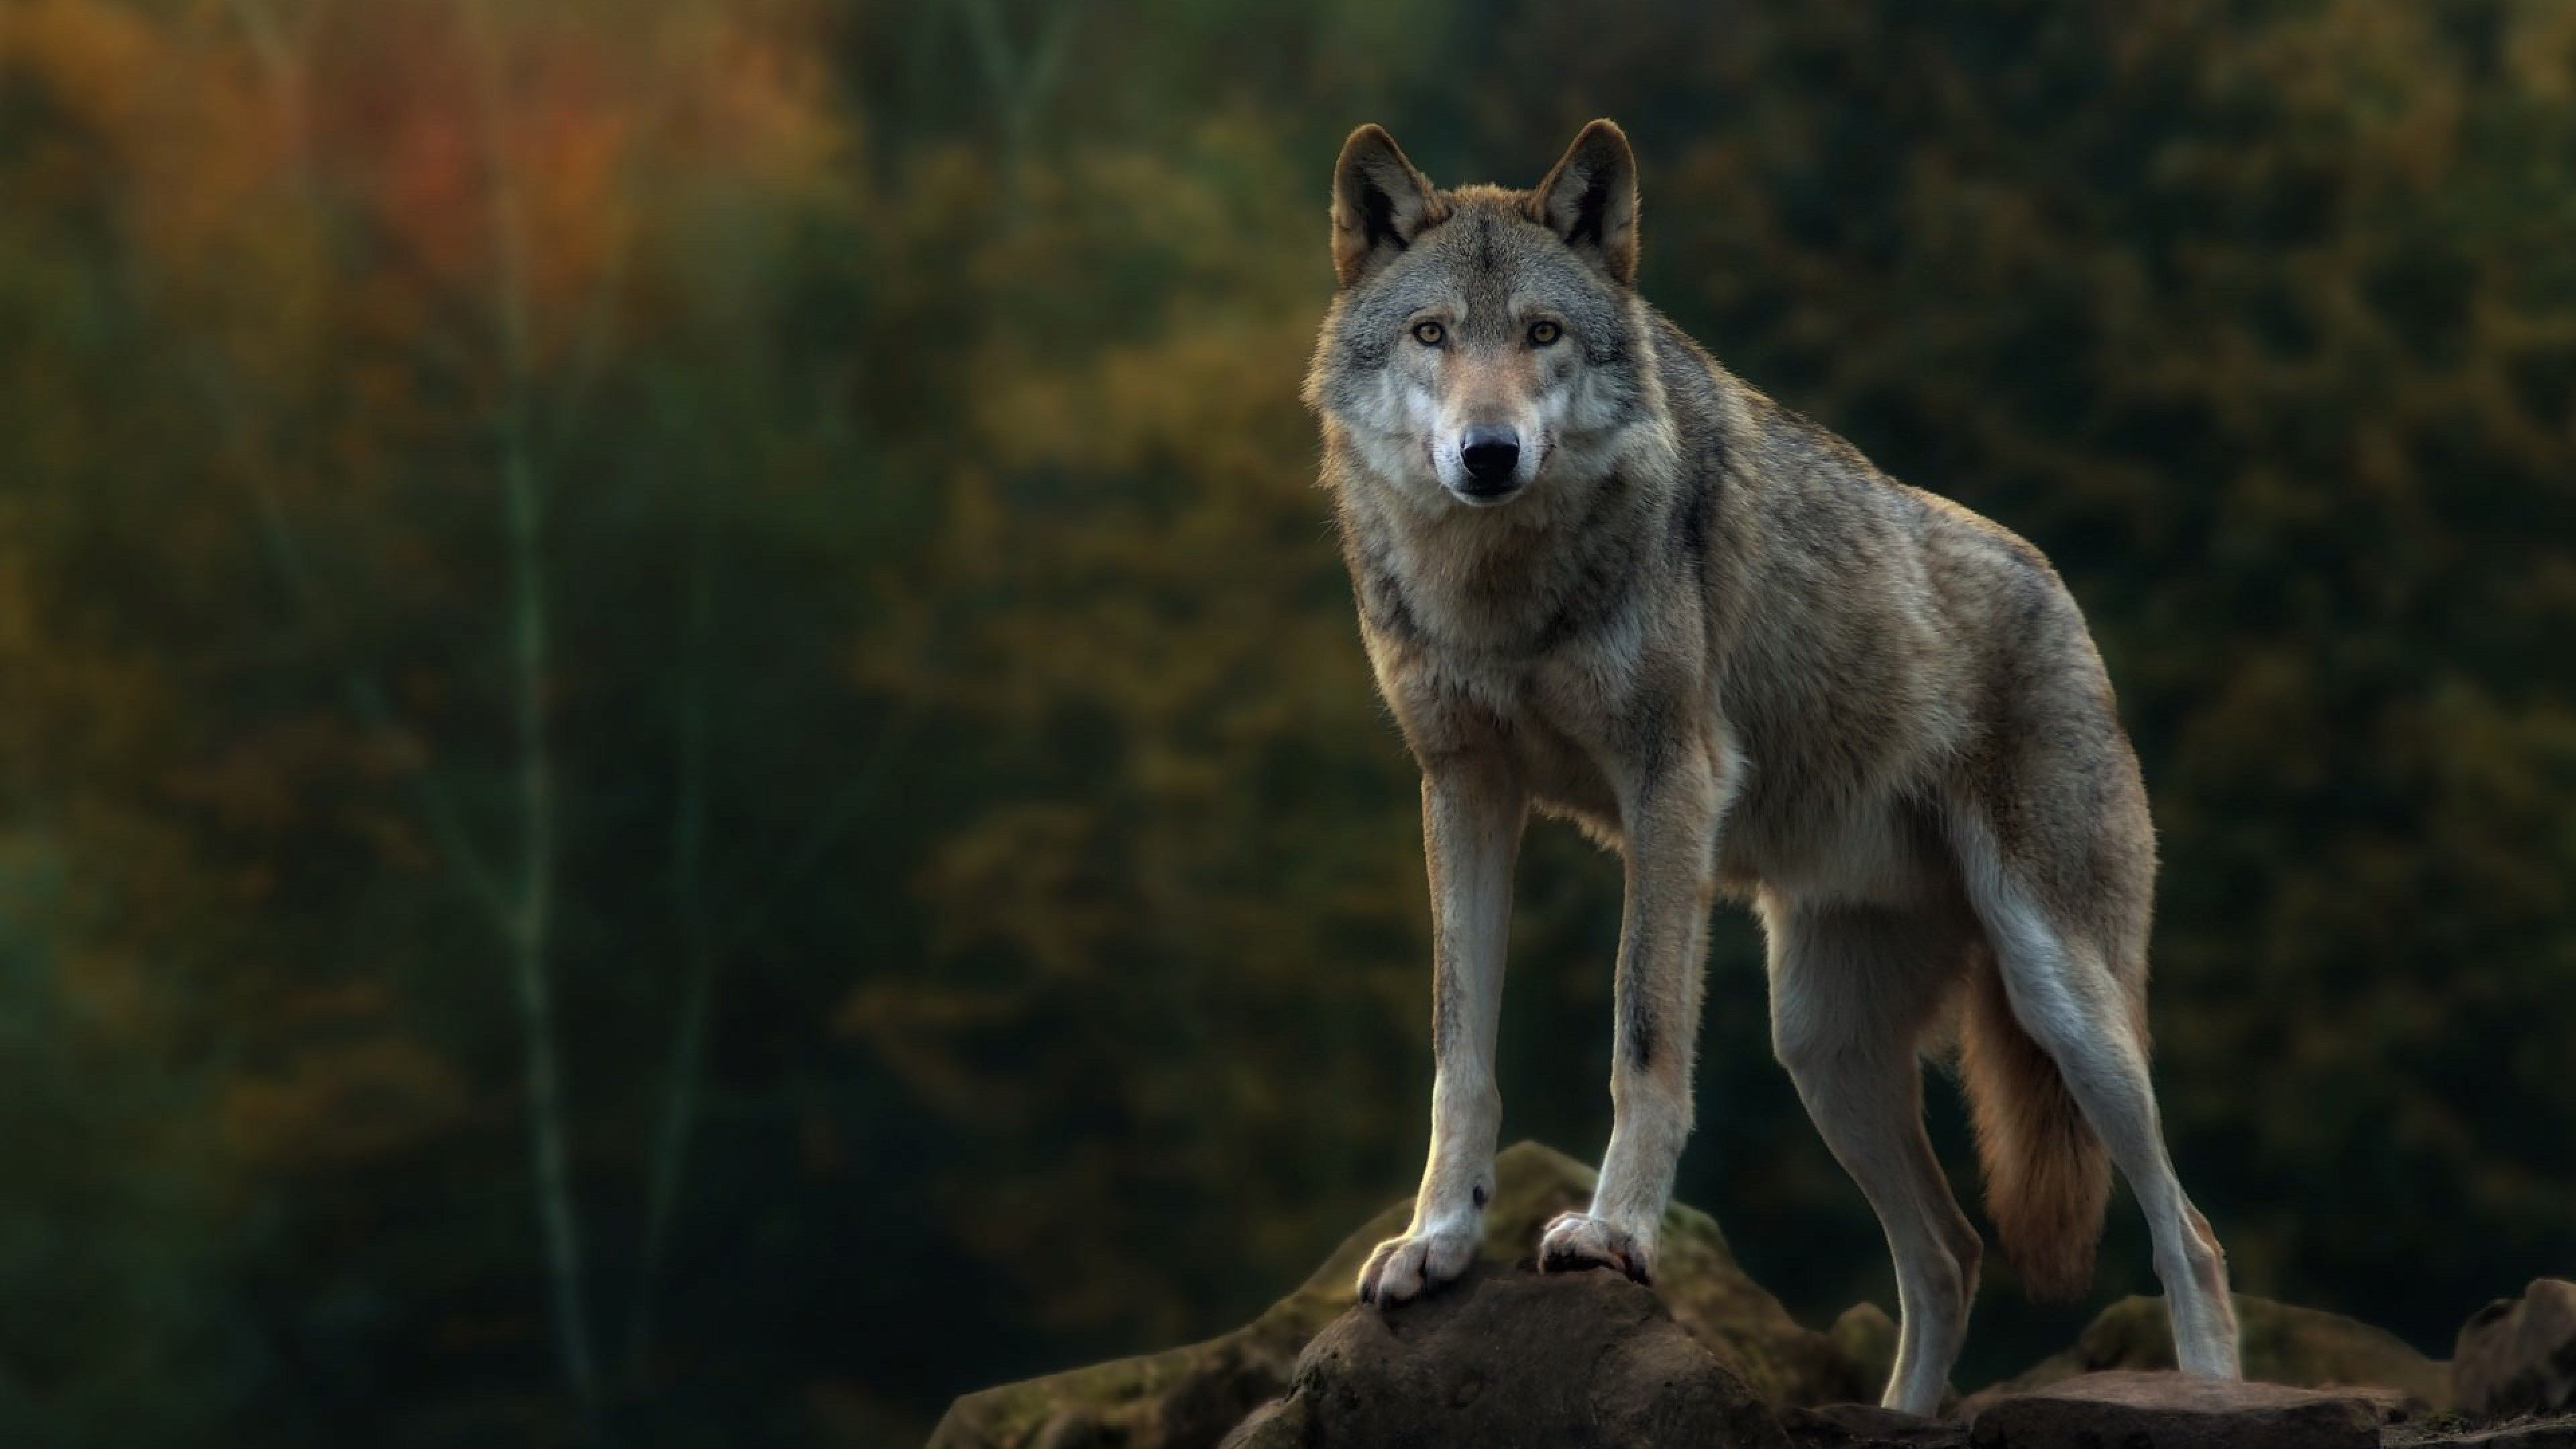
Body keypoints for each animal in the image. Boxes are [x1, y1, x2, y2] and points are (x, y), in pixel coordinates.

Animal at [1301, 119, 2242, 1415]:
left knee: (2187, 1235)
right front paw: (1439, 1241)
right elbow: (1462, 1055)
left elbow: (1642, 1035)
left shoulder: (1671, 785)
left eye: (1541, 333)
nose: (1489, 454)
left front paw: (1613, 1234)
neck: (1501, 591)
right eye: (1432, 333)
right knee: (1949, 1254)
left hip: (2063, 1001)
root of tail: (2061, 597)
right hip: (1821, 1044)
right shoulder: (1463, 790)